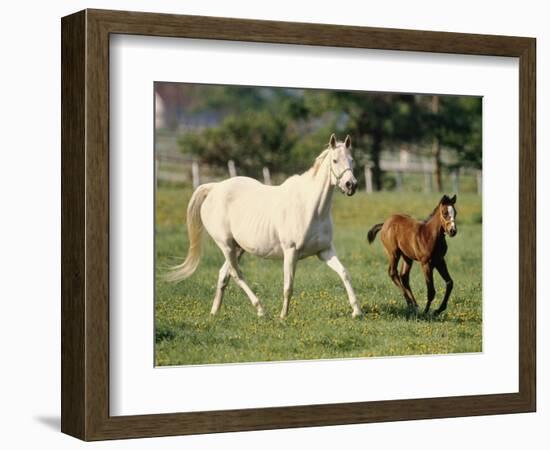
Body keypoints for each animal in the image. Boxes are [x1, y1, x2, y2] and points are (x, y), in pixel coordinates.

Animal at [168, 132, 366, 318]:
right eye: (335, 160)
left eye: (352, 160)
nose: (351, 185)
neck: (311, 207)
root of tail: (214, 188)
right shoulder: (291, 251)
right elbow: (288, 286)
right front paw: (283, 316)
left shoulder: (324, 251)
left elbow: (344, 273)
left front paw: (357, 311)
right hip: (226, 245)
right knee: (237, 274)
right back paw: (261, 310)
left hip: (238, 247)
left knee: (224, 274)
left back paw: (215, 312)